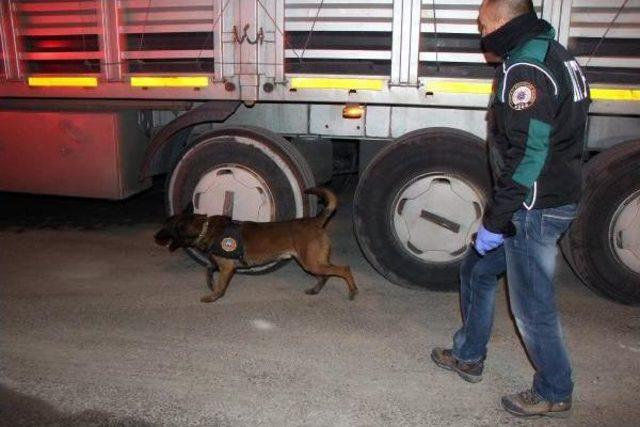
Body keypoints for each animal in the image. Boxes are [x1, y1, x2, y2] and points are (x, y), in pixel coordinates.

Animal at [153, 188, 358, 304]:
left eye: (165, 226)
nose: (154, 237)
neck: (204, 227)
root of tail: (315, 221)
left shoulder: (227, 267)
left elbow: (220, 284)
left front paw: (213, 296)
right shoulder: (221, 263)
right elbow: (208, 269)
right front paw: (210, 284)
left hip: (311, 263)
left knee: (344, 269)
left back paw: (352, 291)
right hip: (313, 262)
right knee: (325, 275)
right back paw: (315, 290)